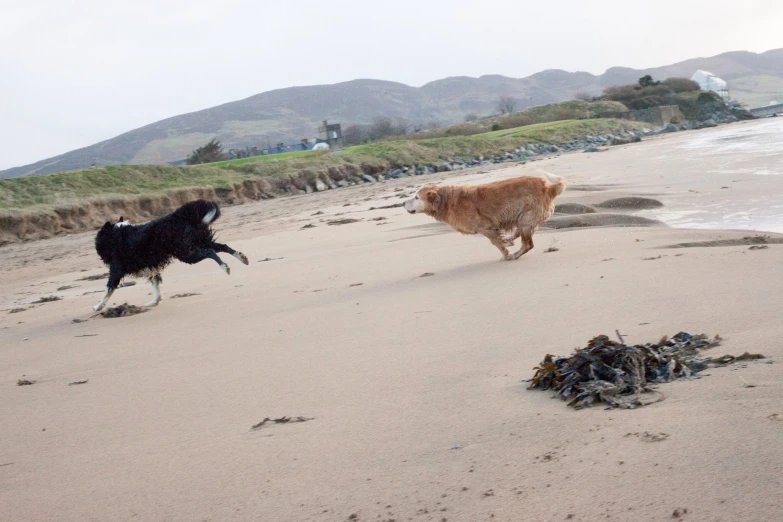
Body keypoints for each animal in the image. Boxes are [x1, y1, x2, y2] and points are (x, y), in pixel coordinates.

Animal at [93, 200, 250, 310]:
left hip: (186, 253)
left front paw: (97, 306)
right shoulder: (150, 267)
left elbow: (108, 289)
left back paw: (225, 266)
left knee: (210, 252)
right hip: (200, 242)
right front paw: (154, 302)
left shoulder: (117, 269)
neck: (116, 235)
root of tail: (180, 215)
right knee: (222, 247)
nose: (98, 250)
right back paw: (242, 257)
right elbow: (155, 285)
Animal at [408, 172, 568, 258]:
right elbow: (498, 241)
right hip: (524, 219)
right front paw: (506, 244)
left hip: (526, 218)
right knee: (520, 234)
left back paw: (514, 254)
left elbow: (495, 242)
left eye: (416, 197)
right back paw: (510, 238)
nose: (403, 203)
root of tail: (548, 187)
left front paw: (505, 252)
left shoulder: (485, 227)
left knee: (528, 244)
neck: (444, 201)